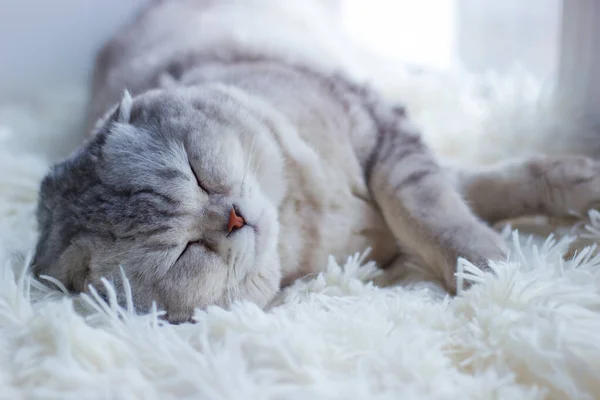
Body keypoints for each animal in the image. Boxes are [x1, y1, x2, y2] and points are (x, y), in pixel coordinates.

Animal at [30, 0, 600, 322]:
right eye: (183, 252)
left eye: (196, 172)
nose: (233, 217)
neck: (300, 215)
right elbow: (449, 210)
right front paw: (496, 273)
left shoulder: (380, 130)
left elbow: (435, 210)